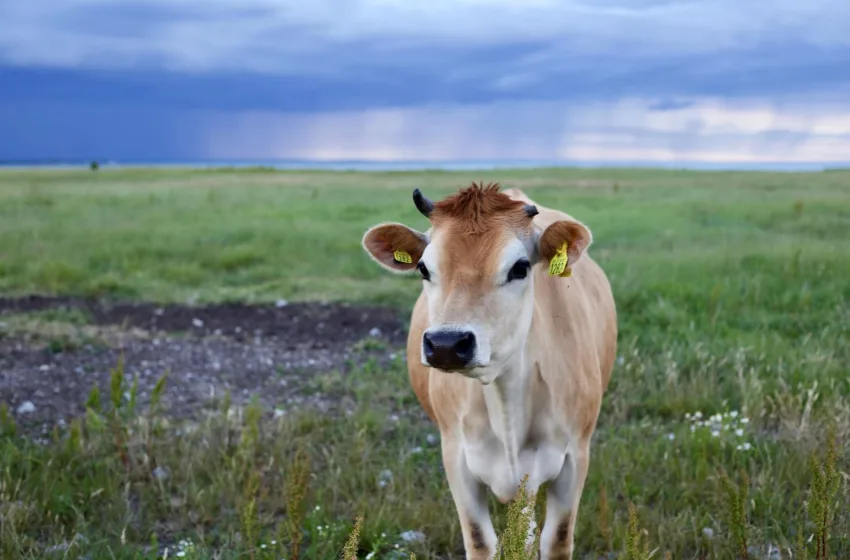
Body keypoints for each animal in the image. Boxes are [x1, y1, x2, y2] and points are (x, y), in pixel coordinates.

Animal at [360, 184, 616, 560]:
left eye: (520, 268)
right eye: (423, 268)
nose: (447, 343)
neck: (505, 398)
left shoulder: (575, 456)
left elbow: (556, 540)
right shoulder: (456, 457)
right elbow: (481, 542)